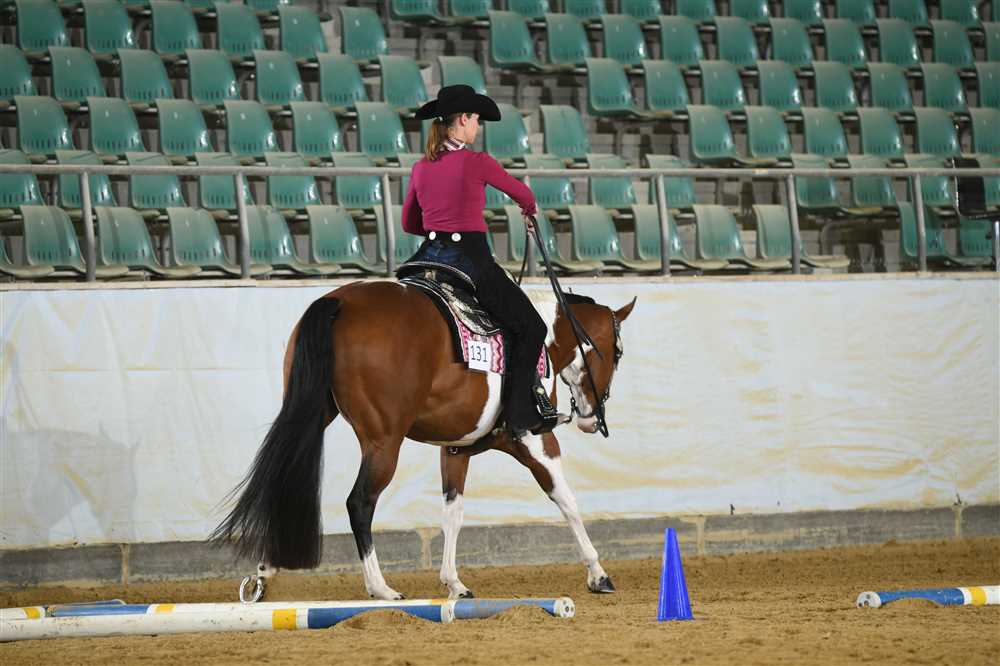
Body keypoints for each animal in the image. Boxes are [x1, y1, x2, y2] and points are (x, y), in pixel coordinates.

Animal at [211, 277, 636, 601]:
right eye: (616, 353)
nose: (592, 418)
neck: (544, 340)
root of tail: (339, 301)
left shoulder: (456, 449)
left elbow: (453, 512)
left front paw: (454, 583)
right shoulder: (534, 440)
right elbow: (566, 500)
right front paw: (598, 573)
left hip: (312, 412)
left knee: (282, 478)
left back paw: (263, 575)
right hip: (383, 442)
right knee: (359, 503)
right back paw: (380, 588)